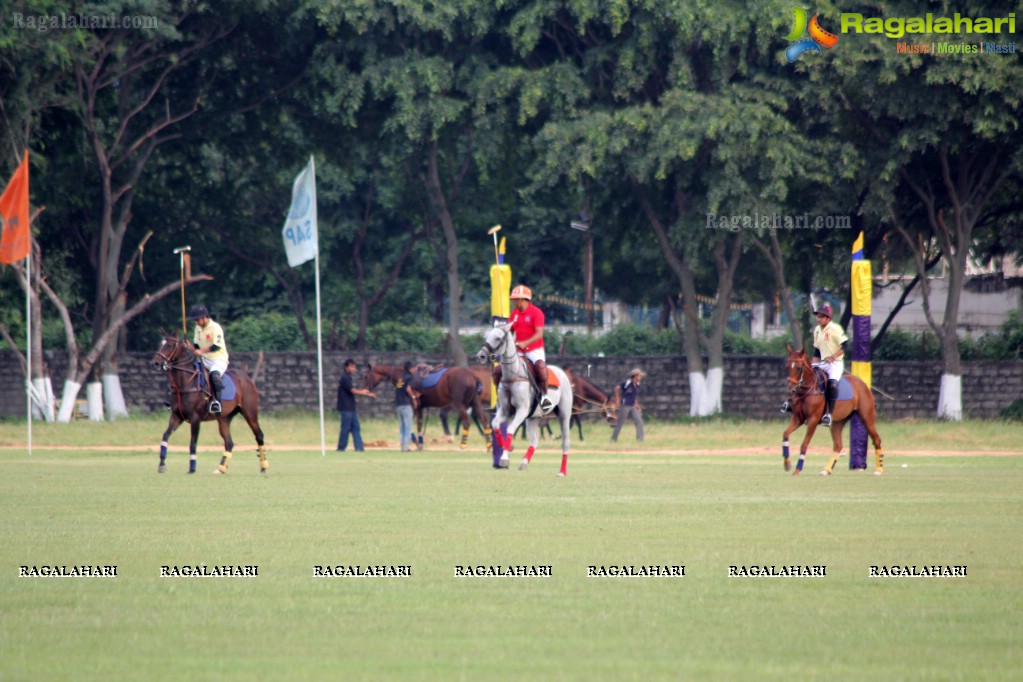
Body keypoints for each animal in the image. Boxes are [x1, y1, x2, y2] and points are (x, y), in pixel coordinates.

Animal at [149, 335, 268, 474]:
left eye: (170, 345)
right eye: (160, 344)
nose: (155, 363)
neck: (184, 384)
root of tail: (247, 378)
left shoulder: (195, 418)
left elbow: (193, 442)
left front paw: (192, 468)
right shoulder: (177, 416)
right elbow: (165, 436)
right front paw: (162, 465)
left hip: (249, 412)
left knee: (259, 435)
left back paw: (264, 466)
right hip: (224, 418)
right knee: (229, 442)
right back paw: (221, 468)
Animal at [474, 325, 572, 474]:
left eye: (498, 338)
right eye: (488, 335)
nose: (481, 356)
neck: (512, 375)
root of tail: (562, 372)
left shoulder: (522, 410)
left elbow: (510, 429)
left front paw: (504, 459)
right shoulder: (505, 410)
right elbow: (495, 424)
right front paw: (506, 447)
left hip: (564, 414)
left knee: (565, 442)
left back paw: (562, 472)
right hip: (533, 417)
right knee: (534, 441)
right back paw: (524, 462)